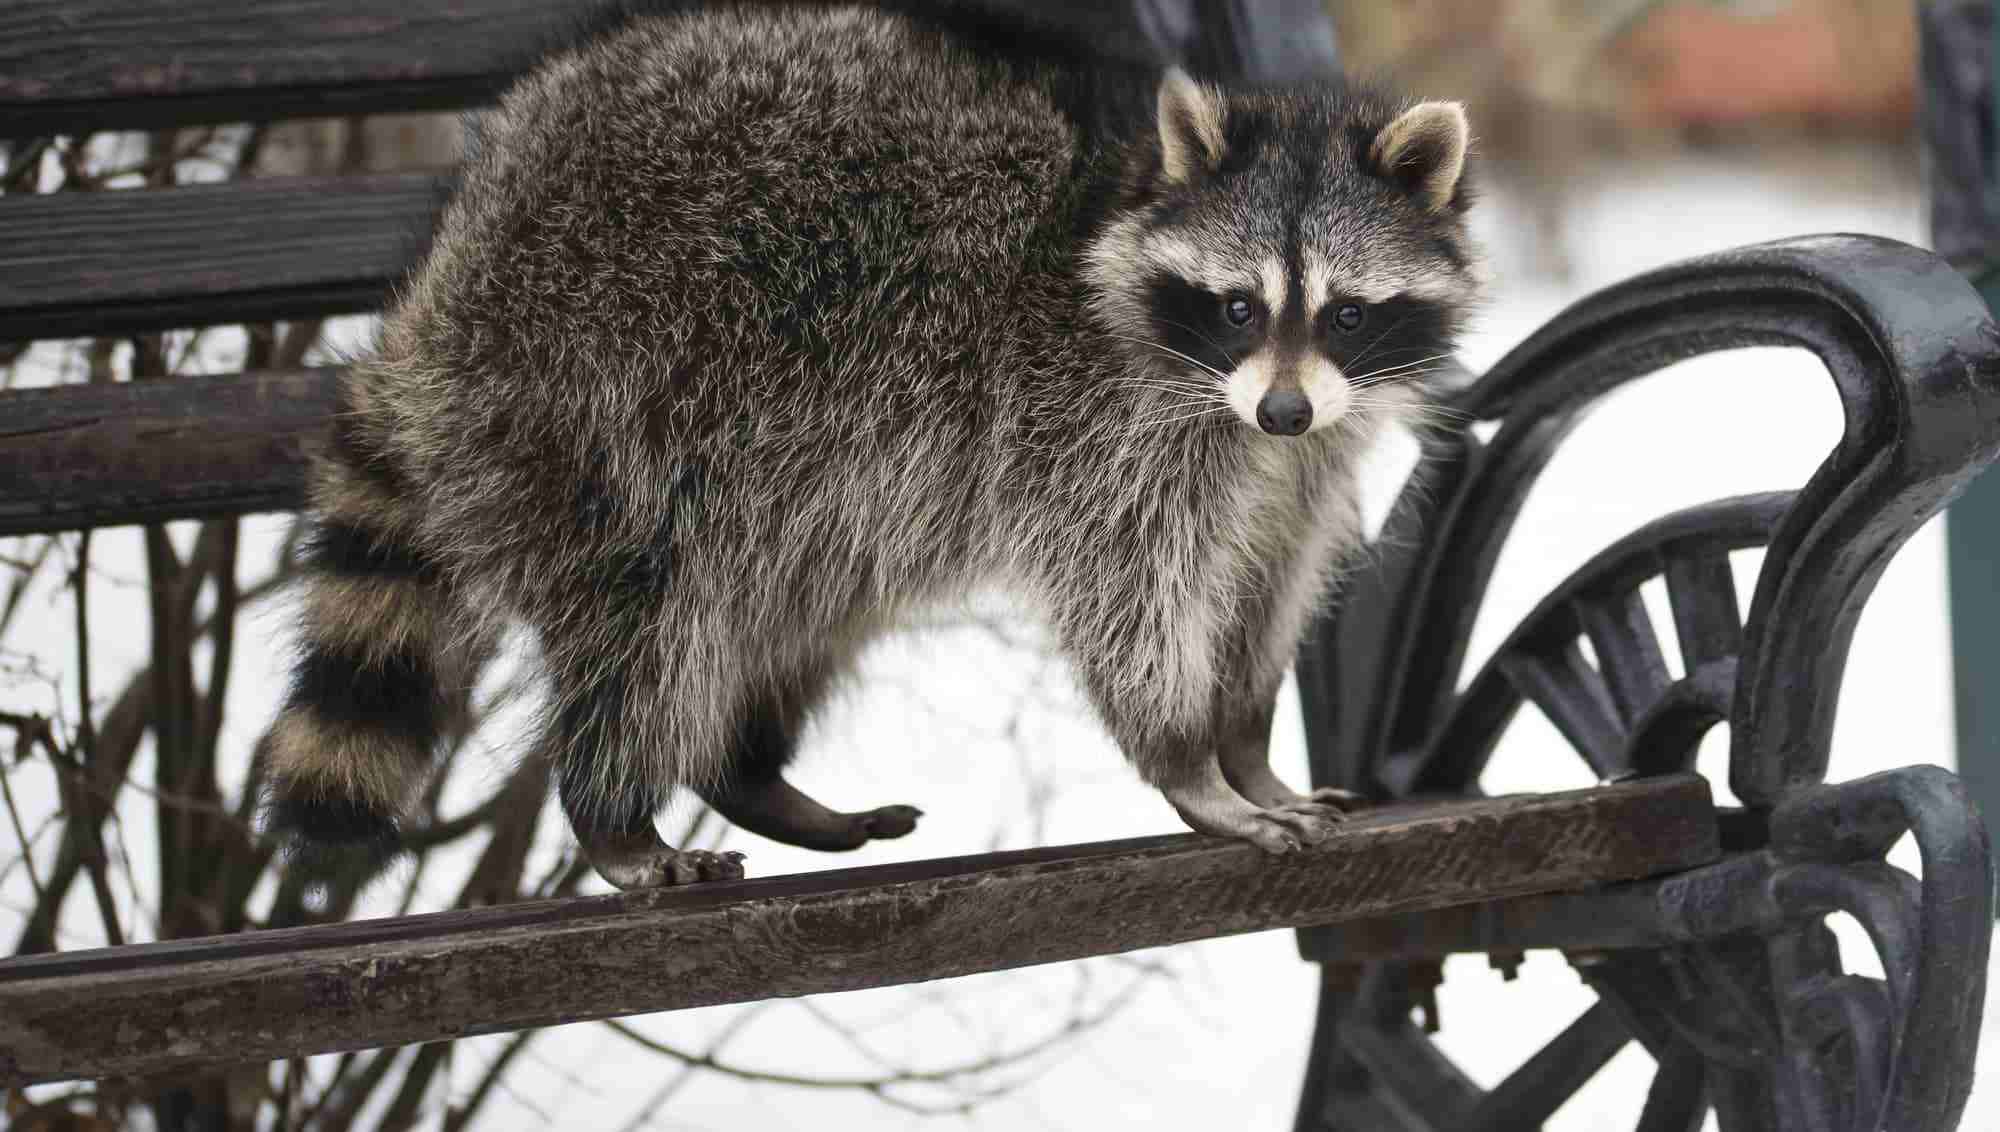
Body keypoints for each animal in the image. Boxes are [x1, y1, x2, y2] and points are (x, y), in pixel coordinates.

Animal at [260, 0, 1479, 889]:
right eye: (1234, 307)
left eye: (1347, 314)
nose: (1283, 411)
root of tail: (453, 263)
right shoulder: (1094, 426)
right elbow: (1131, 598)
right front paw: (1187, 761)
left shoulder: (1302, 465)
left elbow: (1269, 594)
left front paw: (1247, 748)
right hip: (597, 388)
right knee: (649, 619)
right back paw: (614, 812)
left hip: (797, 470)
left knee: (794, 607)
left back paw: (748, 773)